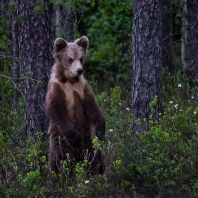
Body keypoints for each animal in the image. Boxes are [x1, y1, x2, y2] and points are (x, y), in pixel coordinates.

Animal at [45, 35, 106, 175]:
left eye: (81, 58)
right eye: (70, 59)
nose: (79, 70)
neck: (70, 80)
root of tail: (78, 157)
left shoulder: (82, 87)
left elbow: (92, 107)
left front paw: (100, 130)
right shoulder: (57, 88)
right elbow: (56, 110)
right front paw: (74, 137)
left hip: (88, 144)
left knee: (97, 156)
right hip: (61, 143)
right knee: (58, 160)